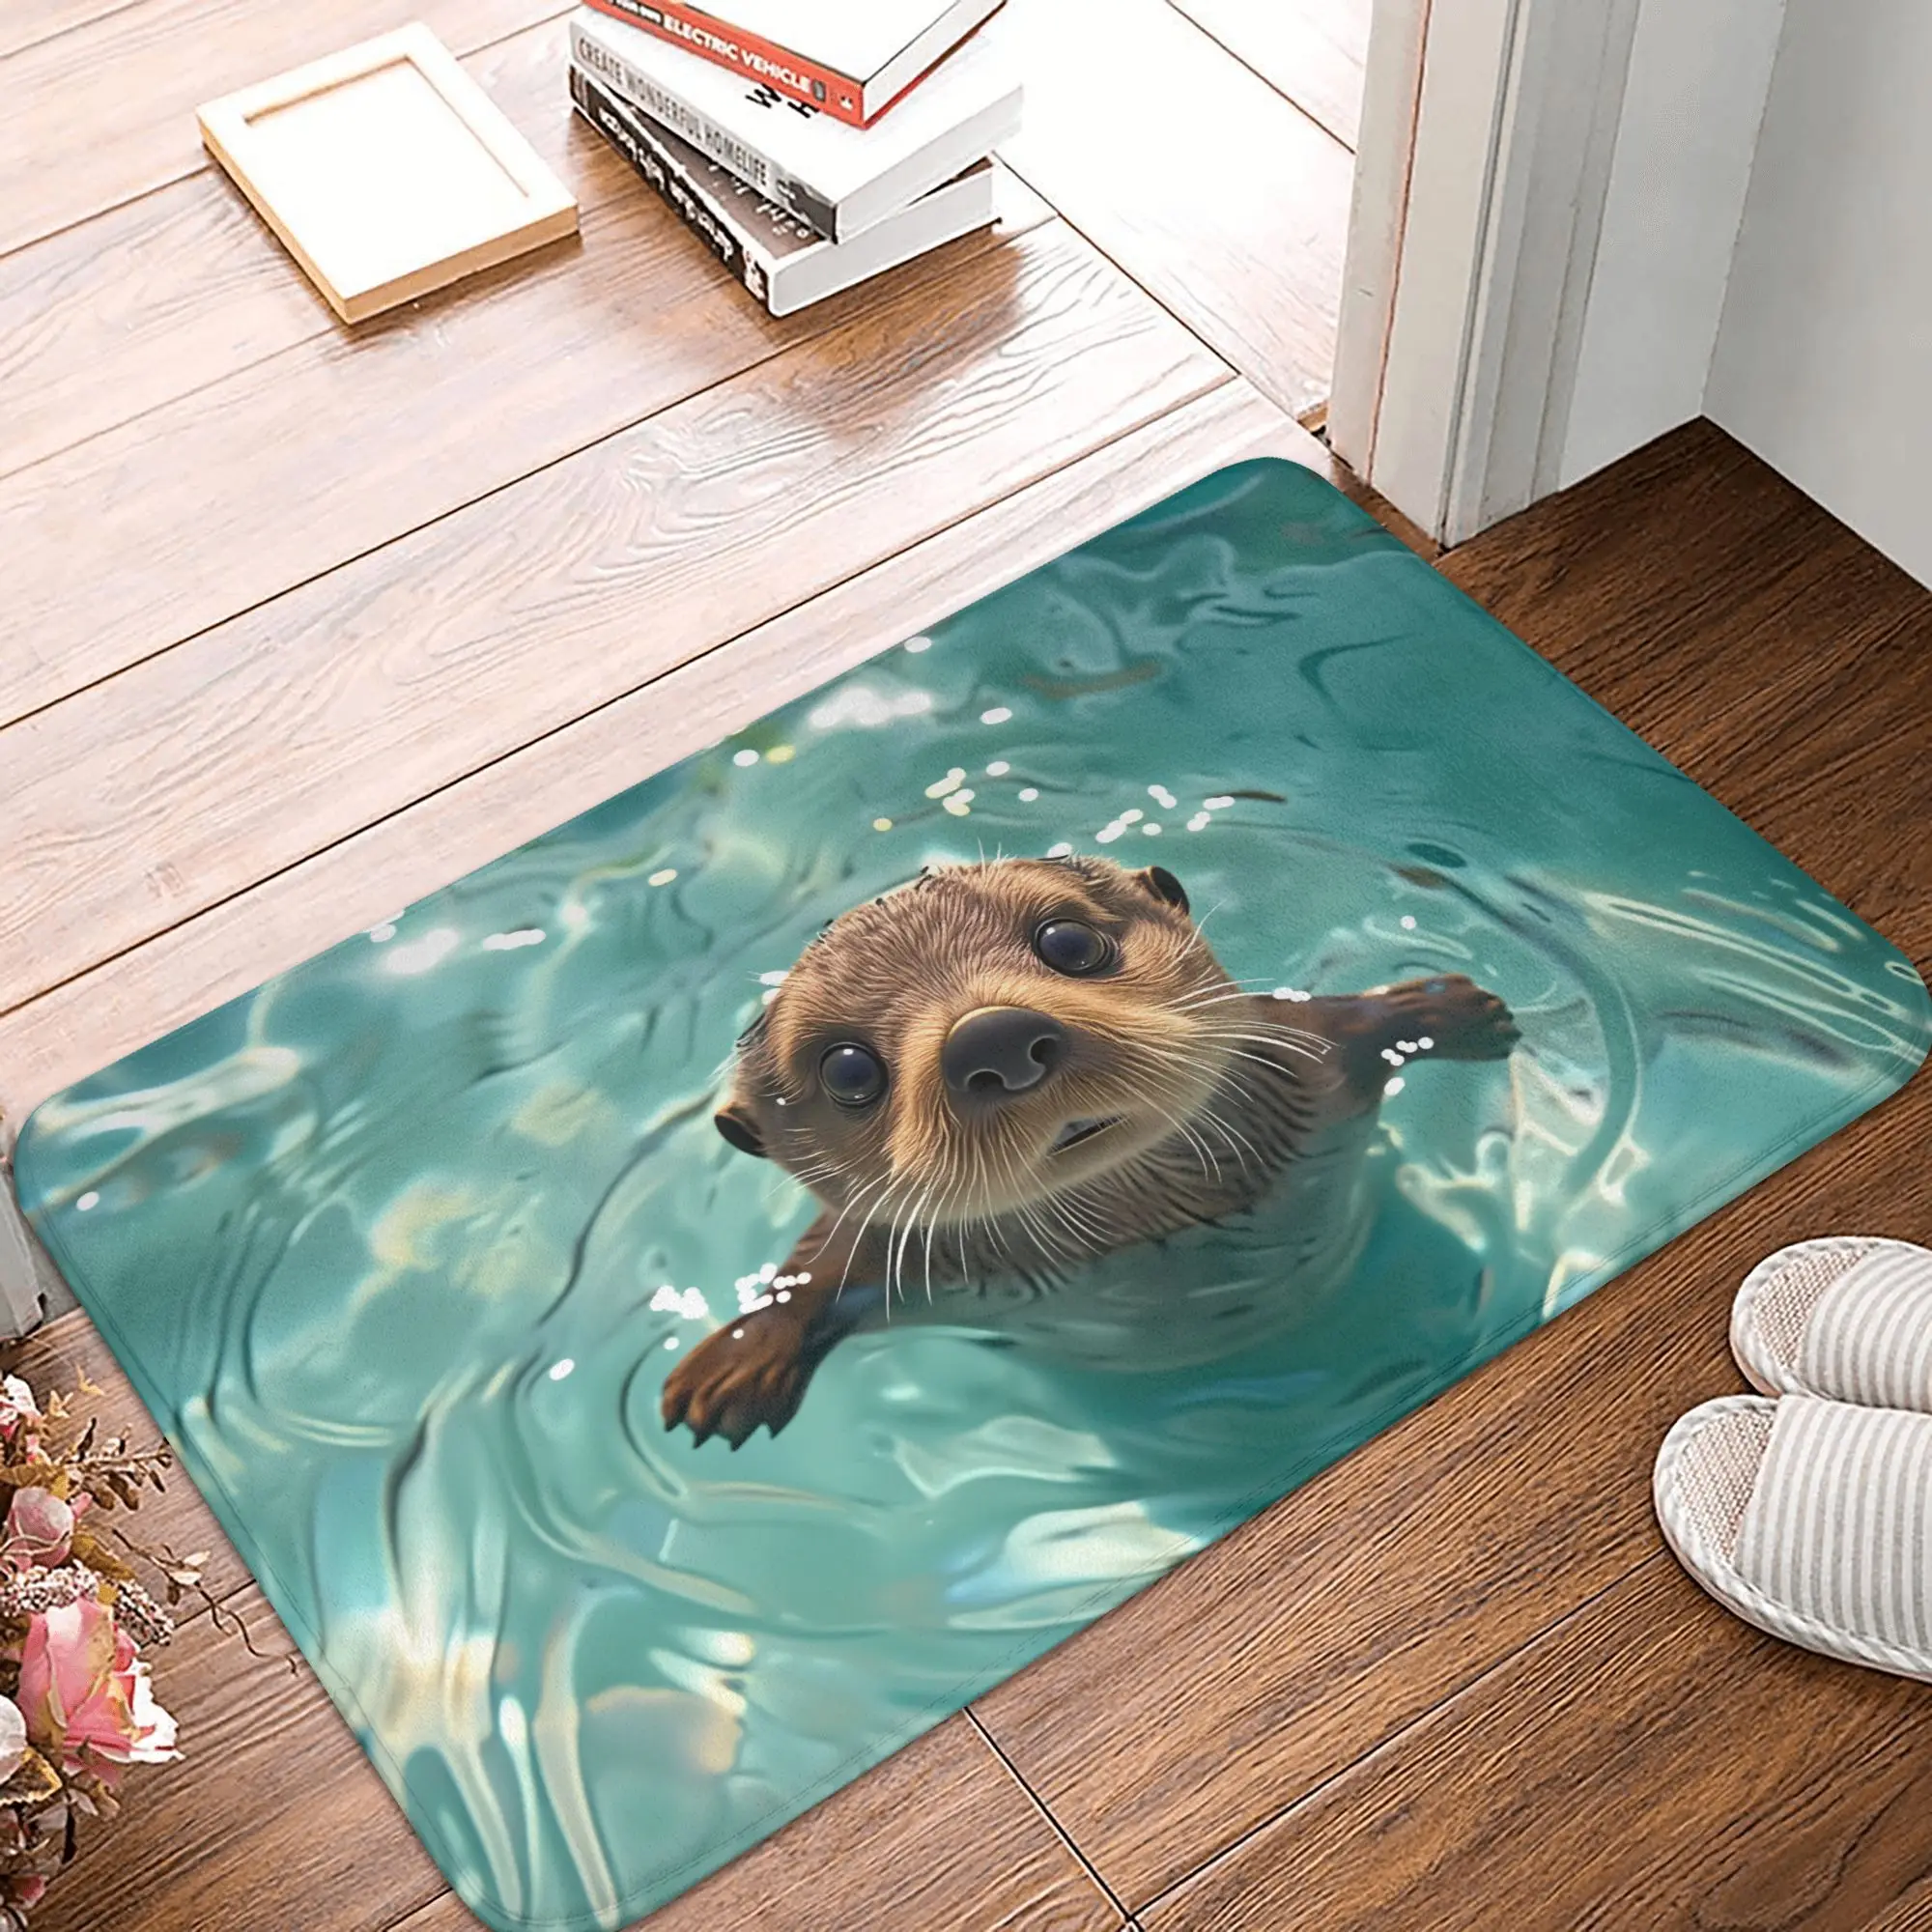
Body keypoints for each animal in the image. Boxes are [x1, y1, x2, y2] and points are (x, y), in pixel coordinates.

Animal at [663, 854, 1518, 1448]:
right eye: (847, 1071)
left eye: (1069, 942)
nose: (993, 1039)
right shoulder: (904, 1253)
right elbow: (817, 1268)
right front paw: (733, 1367)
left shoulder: (1310, 1060)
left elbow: (1350, 1022)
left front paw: (1450, 1009)